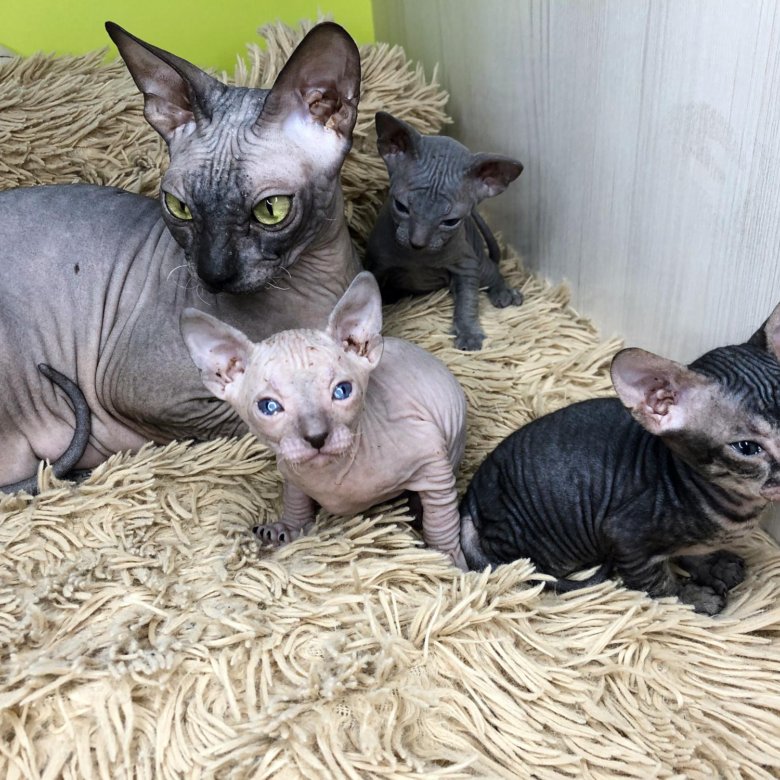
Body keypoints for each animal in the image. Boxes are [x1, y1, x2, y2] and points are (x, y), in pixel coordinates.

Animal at [0, 22, 361, 489]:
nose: (213, 274)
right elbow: (248, 418)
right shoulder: (135, 388)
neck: (317, 285)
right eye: (179, 207)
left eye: (271, 209)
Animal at [180, 271, 469, 568]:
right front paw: (287, 528)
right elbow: (295, 500)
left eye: (342, 391)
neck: (331, 474)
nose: (316, 437)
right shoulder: (291, 471)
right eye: (269, 407)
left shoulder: (432, 458)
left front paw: (447, 559)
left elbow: (441, 521)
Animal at [364, 111, 524, 351]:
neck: (416, 258)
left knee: (493, 272)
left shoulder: (467, 266)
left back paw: (504, 292)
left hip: (480, 263)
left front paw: (468, 333)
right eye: (401, 207)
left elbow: (467, 302)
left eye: (450, 222)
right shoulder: (376, 264)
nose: (417, 242)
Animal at [459, 301, 780, 614]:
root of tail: (471, 495)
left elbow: (690, 552)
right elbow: (659, 585)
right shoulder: (625, 538)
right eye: (747, 448)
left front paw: (712, 564)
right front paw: (693, 597)